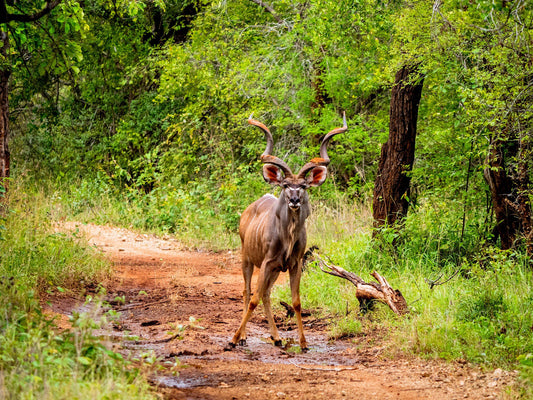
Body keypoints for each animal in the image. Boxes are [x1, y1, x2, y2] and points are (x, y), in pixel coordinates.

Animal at [228, 112, 344, 350]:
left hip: (272, 270)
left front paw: (304, 342)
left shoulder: (293, 264)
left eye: (303, 186)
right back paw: (243, 337)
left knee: (266, 294)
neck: (287, 237)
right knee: (247, 292)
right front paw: (234, 339)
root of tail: (246, 212)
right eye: (285, 185)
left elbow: (296, 301)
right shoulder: (266, 262)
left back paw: (277, 337)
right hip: (247, 258)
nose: (294, 200)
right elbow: (253, 298)